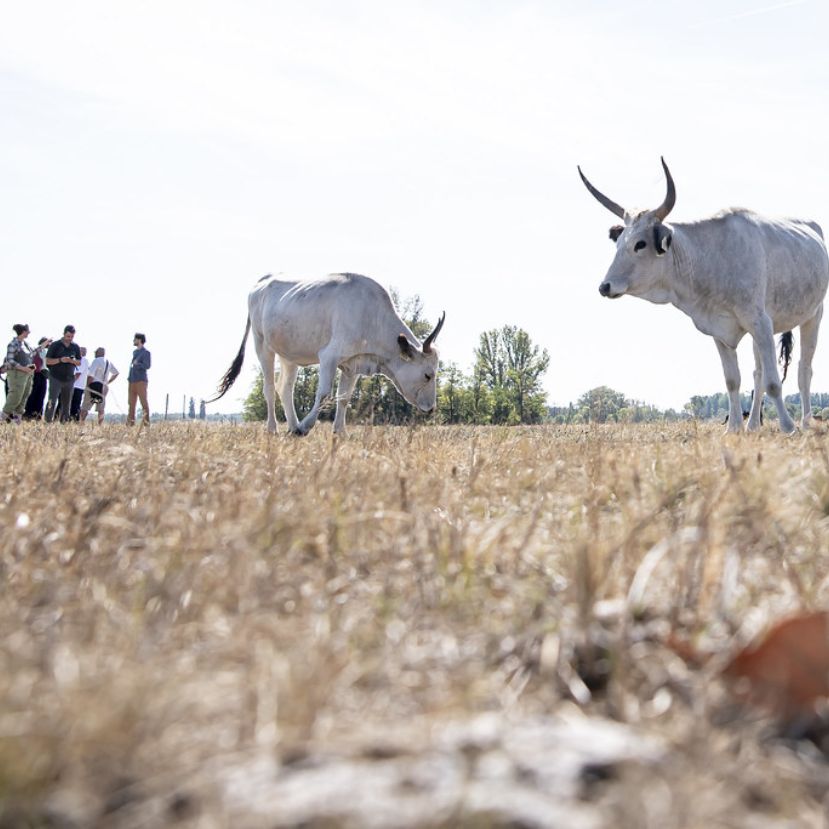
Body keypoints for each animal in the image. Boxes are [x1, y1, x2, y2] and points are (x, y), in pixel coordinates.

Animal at [210, 274, 444, 436]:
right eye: (428, 375)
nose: (431, 408)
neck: (371, 316)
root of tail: (264, 280)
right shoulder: (329, 357)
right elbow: (324, 394)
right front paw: (306, 427)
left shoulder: (352, 364)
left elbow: (344, 398)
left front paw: (340, 431)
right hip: (262, 345)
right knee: (269, 388)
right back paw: (273, 428)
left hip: (289, 355)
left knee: (284, 388)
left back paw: (292, 425)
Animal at [576, 158, 828, 436]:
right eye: (619, 242)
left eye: (640, 244)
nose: (605, 286)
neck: (710, 256)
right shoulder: (723, 329)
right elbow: (733, 380)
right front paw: (734, 428)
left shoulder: (759, 321)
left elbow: (774, 382)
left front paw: (788, 427)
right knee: (758, 373)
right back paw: (753, 425)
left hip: (813, 316)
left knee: (804, 370)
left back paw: (806, 422)